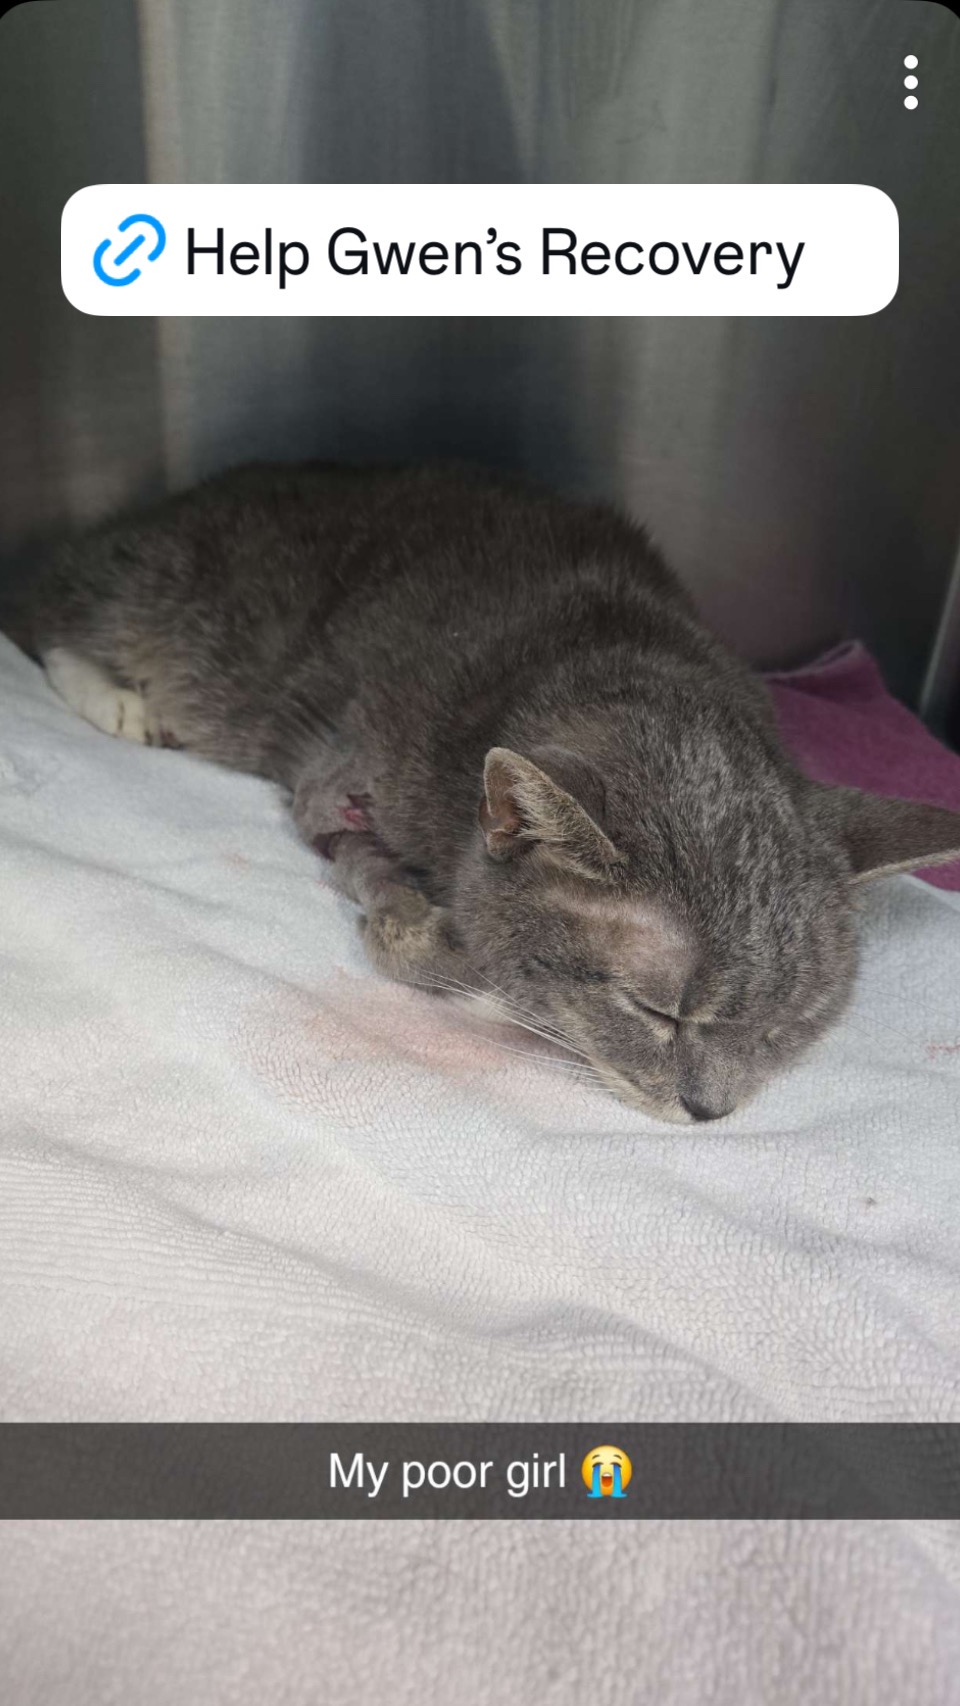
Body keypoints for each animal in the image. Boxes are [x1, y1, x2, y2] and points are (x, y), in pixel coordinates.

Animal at [20, 459, 960, 1121]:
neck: (611, 650)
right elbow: (405, 910)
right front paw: (432, 931)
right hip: (169, 611)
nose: (710, 1112)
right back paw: (118, 699)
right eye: (660, 1013)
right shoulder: (333, 787)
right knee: (48, 618)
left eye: (785, 1029)